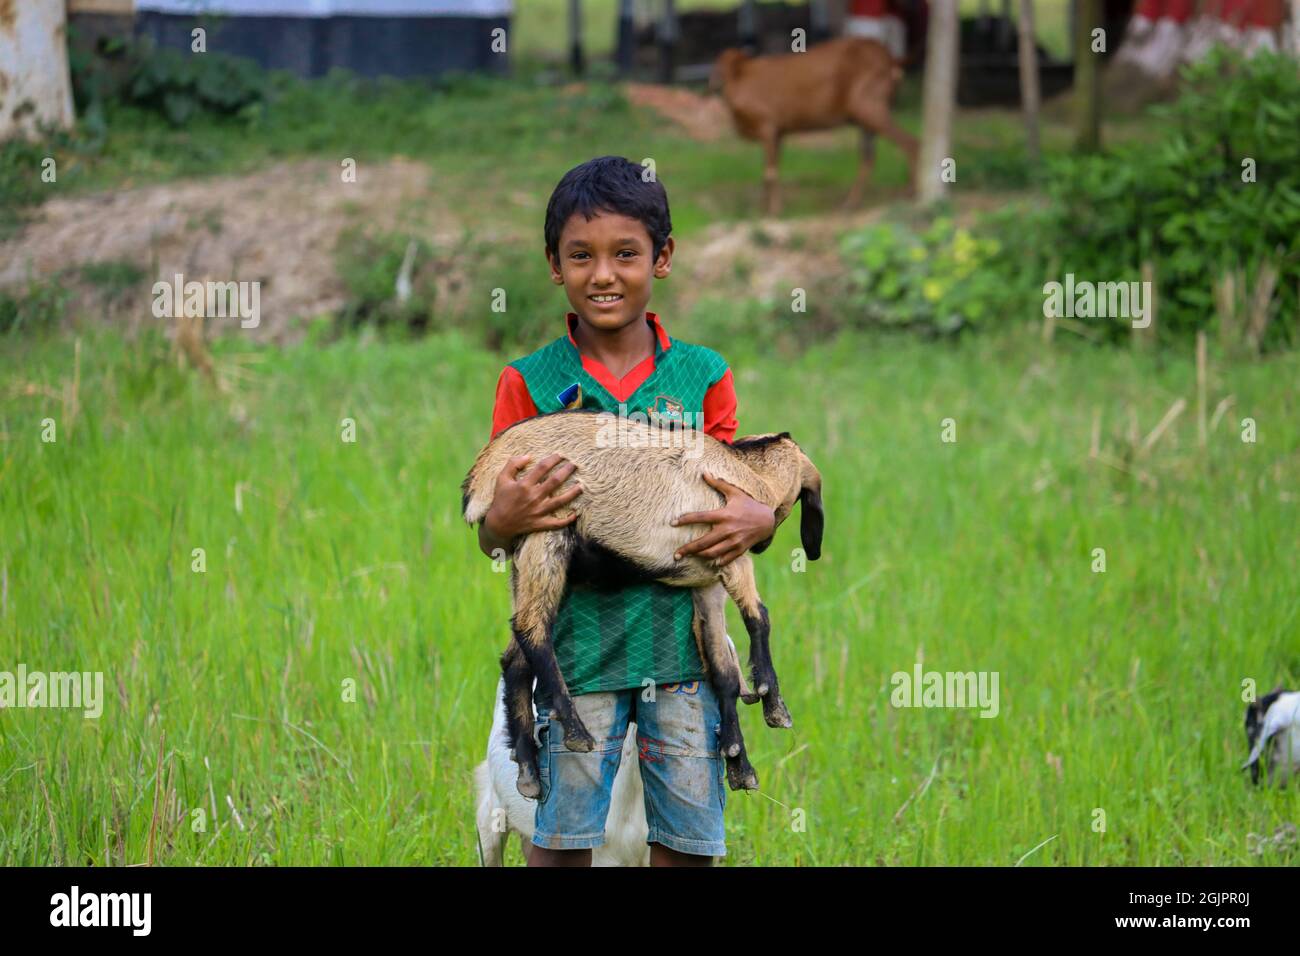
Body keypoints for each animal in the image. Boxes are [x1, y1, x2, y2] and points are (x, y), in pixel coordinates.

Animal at [460, 411, 821, 790]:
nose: (763, 543)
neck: (745, 472)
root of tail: (480, 473)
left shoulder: (707, 584)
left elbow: (722, 669)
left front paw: (739, 761)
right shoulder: (733, 554)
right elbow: (759, 617)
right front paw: (774, 704)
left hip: (522, 556)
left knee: (514, 659)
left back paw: (528, 767)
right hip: (547, 525)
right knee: (532, 628)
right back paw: (575, 730)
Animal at [712, 36, 915, 214]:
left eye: (719, 68)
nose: (714, 82)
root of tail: (891, 61)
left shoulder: (767, 125)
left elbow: (769, 172)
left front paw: (773, 211)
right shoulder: (779, 132)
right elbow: (769, 171)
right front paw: (762, 209)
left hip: (869, 107)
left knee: (911, 143)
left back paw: (909, 193)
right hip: (865, 118)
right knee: (869, 157)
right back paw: (850, 203)